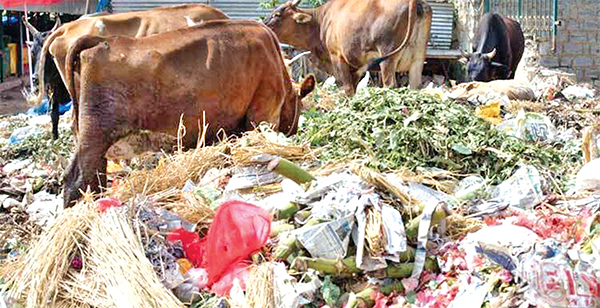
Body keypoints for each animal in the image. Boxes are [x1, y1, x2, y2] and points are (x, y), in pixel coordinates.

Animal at [61, 19, 316, 207]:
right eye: (300, 106)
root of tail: (105, 41)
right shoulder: (261, 115)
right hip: (96, 138)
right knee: (80, 181)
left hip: (88, 139)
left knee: (82, 178)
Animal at [264, 0, 432, 95]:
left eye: (277, 14)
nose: (263, 24)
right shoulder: (357, 67)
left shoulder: (337, 57)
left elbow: (347, 89)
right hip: (417, 59)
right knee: (415, 86)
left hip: (387, 57)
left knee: (389, 84)